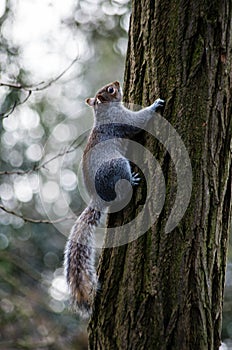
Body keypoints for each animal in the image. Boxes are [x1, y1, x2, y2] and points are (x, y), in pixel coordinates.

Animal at [64, 81, 165, 318]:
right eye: (110, 90)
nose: (118, 83)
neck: (102, 111)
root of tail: (99, 197)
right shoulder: (122, 119)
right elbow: (138, 121)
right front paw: (155, 105)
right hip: (117, 165)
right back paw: (133, 180)